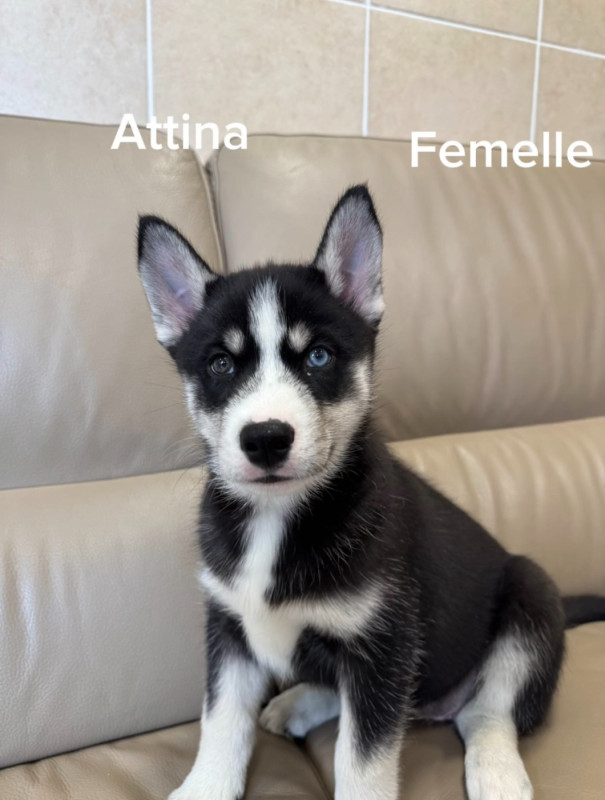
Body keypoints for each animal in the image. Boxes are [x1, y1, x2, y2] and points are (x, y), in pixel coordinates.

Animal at [137, 186, 605, 800]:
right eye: (219, 364)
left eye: (318, 356)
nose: (266, 439)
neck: (279, 517)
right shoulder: (230, 628)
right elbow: (221, 724)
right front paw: (204, 786)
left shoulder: (383, 647)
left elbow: (361, 761)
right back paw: (298, 702)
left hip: (530, 594)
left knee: (487, 713)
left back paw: (497, 772)